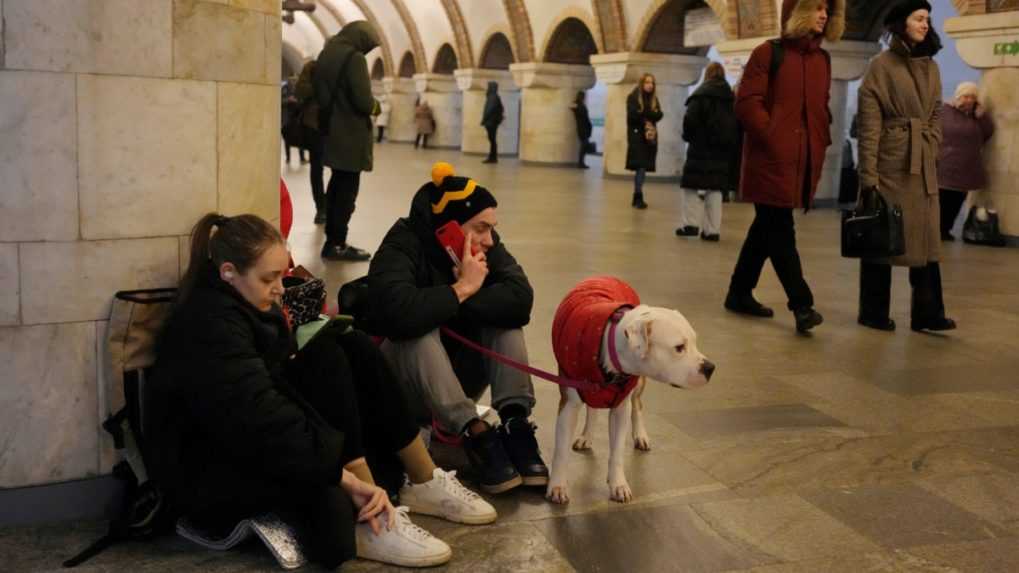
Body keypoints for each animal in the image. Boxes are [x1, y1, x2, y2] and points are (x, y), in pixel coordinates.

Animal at [550, 279, 709, 501]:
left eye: (695, 342)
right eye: (679, 347)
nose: (710, 367)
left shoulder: (620, 408)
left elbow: (617, 451)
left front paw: (618, 484)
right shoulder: (569, 405)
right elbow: (561, 450)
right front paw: (557, 486)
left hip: (638, 384)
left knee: (637, 405)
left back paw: (640, 435)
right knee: (593, 408)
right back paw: (587, 435)